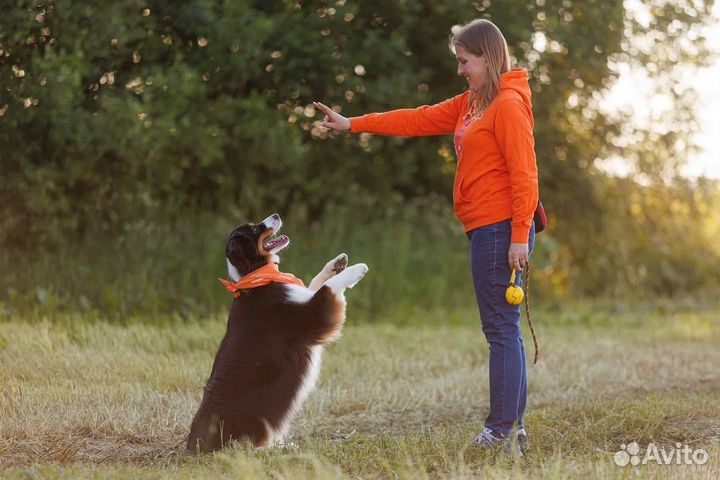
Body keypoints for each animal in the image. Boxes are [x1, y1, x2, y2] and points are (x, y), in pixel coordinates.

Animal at [187, 212, 366, 452]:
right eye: (254, 228)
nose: (276, 214)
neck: (256, 277)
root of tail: (193, 444)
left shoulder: (303, 297)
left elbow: (317, 282)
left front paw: (337, 264)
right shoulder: (311, 315)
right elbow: (328, 289)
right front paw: (356, 268)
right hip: (257, 419)